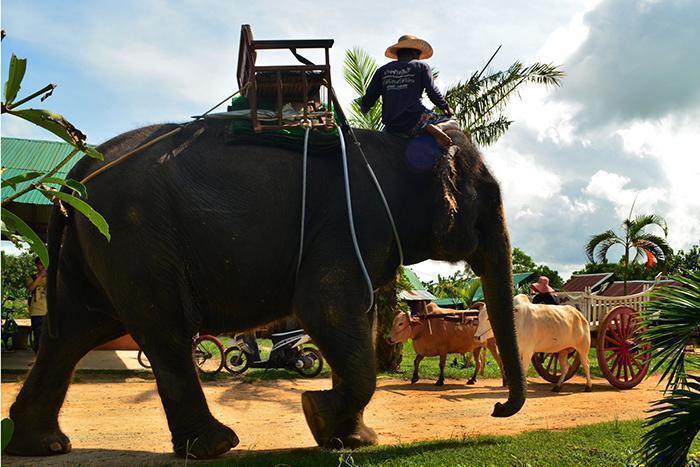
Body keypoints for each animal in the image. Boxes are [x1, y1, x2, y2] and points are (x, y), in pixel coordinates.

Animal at [6, 119, 524, 458]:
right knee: (163, 333)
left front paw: (350, 439)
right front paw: (316, 412)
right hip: (134, 240)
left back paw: (44, 446)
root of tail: (73, 176)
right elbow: (327, 309)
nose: (498, 408)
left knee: (75, 333)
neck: (397, 148)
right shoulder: (348, 224)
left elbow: (356, 317)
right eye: (489, 198)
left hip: (98, 247)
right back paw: (217, 445)